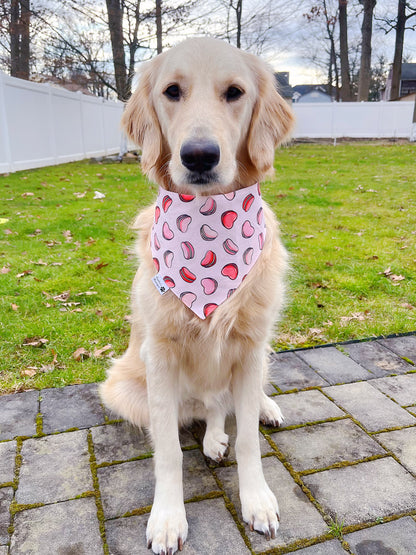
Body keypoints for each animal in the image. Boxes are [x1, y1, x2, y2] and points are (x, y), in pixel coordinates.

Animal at [101, 38, 294, 555]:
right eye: (172, 91)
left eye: (235, 92)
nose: (200, 156)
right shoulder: (160, 355)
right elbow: (168, 449)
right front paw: (168, 517)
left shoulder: (250, 345)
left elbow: (247, 439)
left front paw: (257, 500)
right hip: (123, 386)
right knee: (206, 409)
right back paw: (211, 439)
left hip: (260, 352)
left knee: (230, 403)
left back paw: (261, 411)